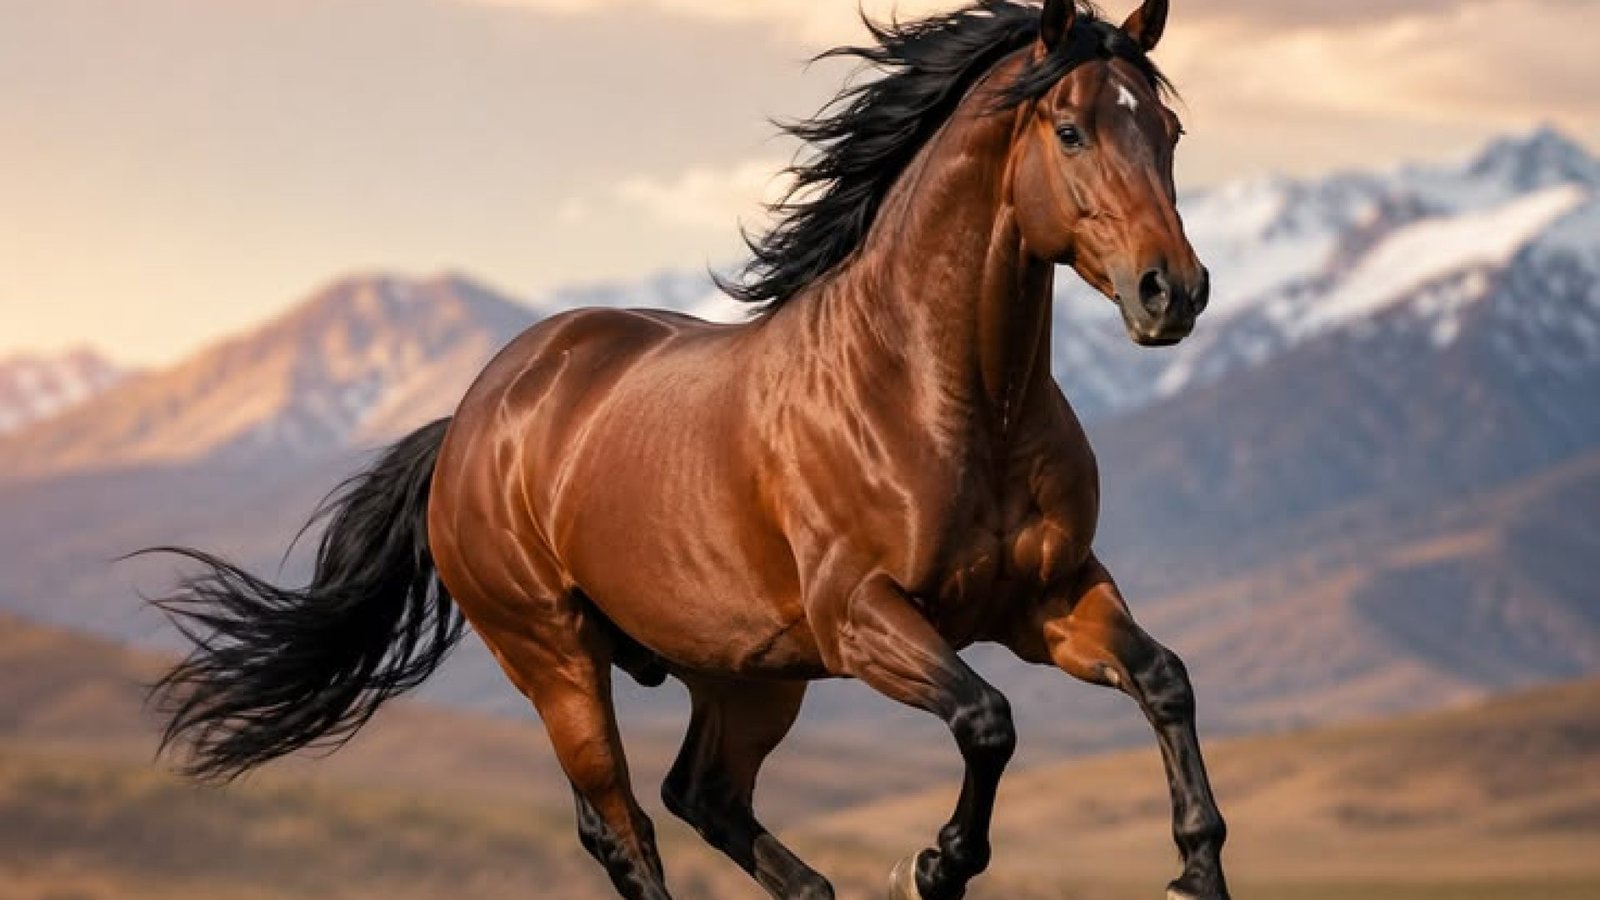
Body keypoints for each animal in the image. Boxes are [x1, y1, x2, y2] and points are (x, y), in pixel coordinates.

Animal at [149, 2, 1228, 898]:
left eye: (1168, 132)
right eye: (1070, 129)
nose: (1171, 291)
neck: (945, 401)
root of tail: (470, 422)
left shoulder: (1046, 599)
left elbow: (1166, 678)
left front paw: (1195, 870)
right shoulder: (865, 618)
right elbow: (988, 722)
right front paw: (932, 866)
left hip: (749, 674)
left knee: (701, 795)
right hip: (557, 659)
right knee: (623, 827)